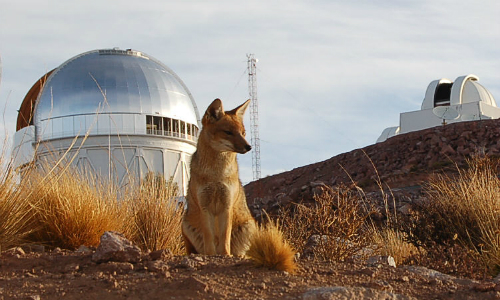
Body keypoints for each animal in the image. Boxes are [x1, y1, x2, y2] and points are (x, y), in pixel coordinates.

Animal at [181, 99, 294, 274]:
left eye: (243, 133)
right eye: (228, 132)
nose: (249, 147)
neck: (216, 174)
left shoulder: (227, 205)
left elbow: (225, 236)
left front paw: (225, 255)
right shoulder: (204, 206)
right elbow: (209, 238)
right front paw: (211, 255)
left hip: (248, 226)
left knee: (241, 252)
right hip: (185, 225)